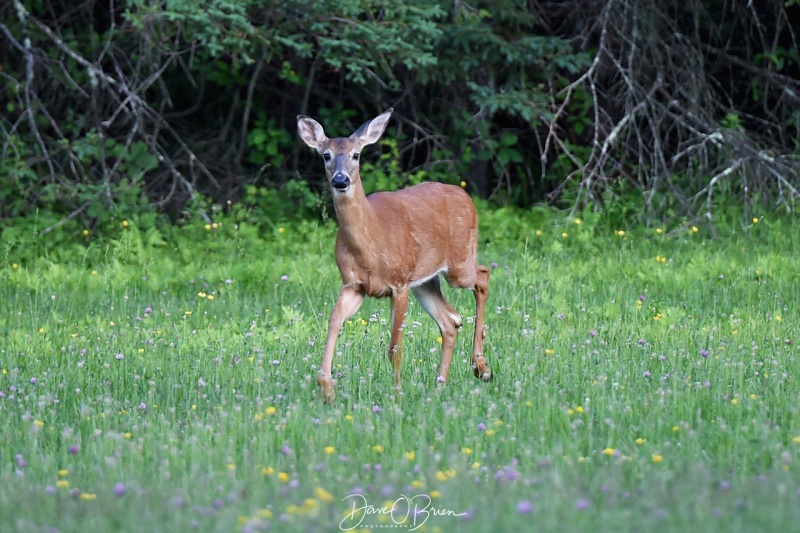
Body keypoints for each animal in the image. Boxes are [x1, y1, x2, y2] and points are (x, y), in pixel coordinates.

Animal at [296, 109, 490, 404]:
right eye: (326, 155)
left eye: (356, 154)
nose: (340, 180)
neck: (372, 243)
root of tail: (465, 194)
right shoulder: (354, 285)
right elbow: (333, 322)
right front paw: (327, 388)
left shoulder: (398, 283)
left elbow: (394, 347)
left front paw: (397, 395)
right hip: (425, 282)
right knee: (451, 321)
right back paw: (440, 386)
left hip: (459, 264)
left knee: (483, 277)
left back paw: (481, 366)